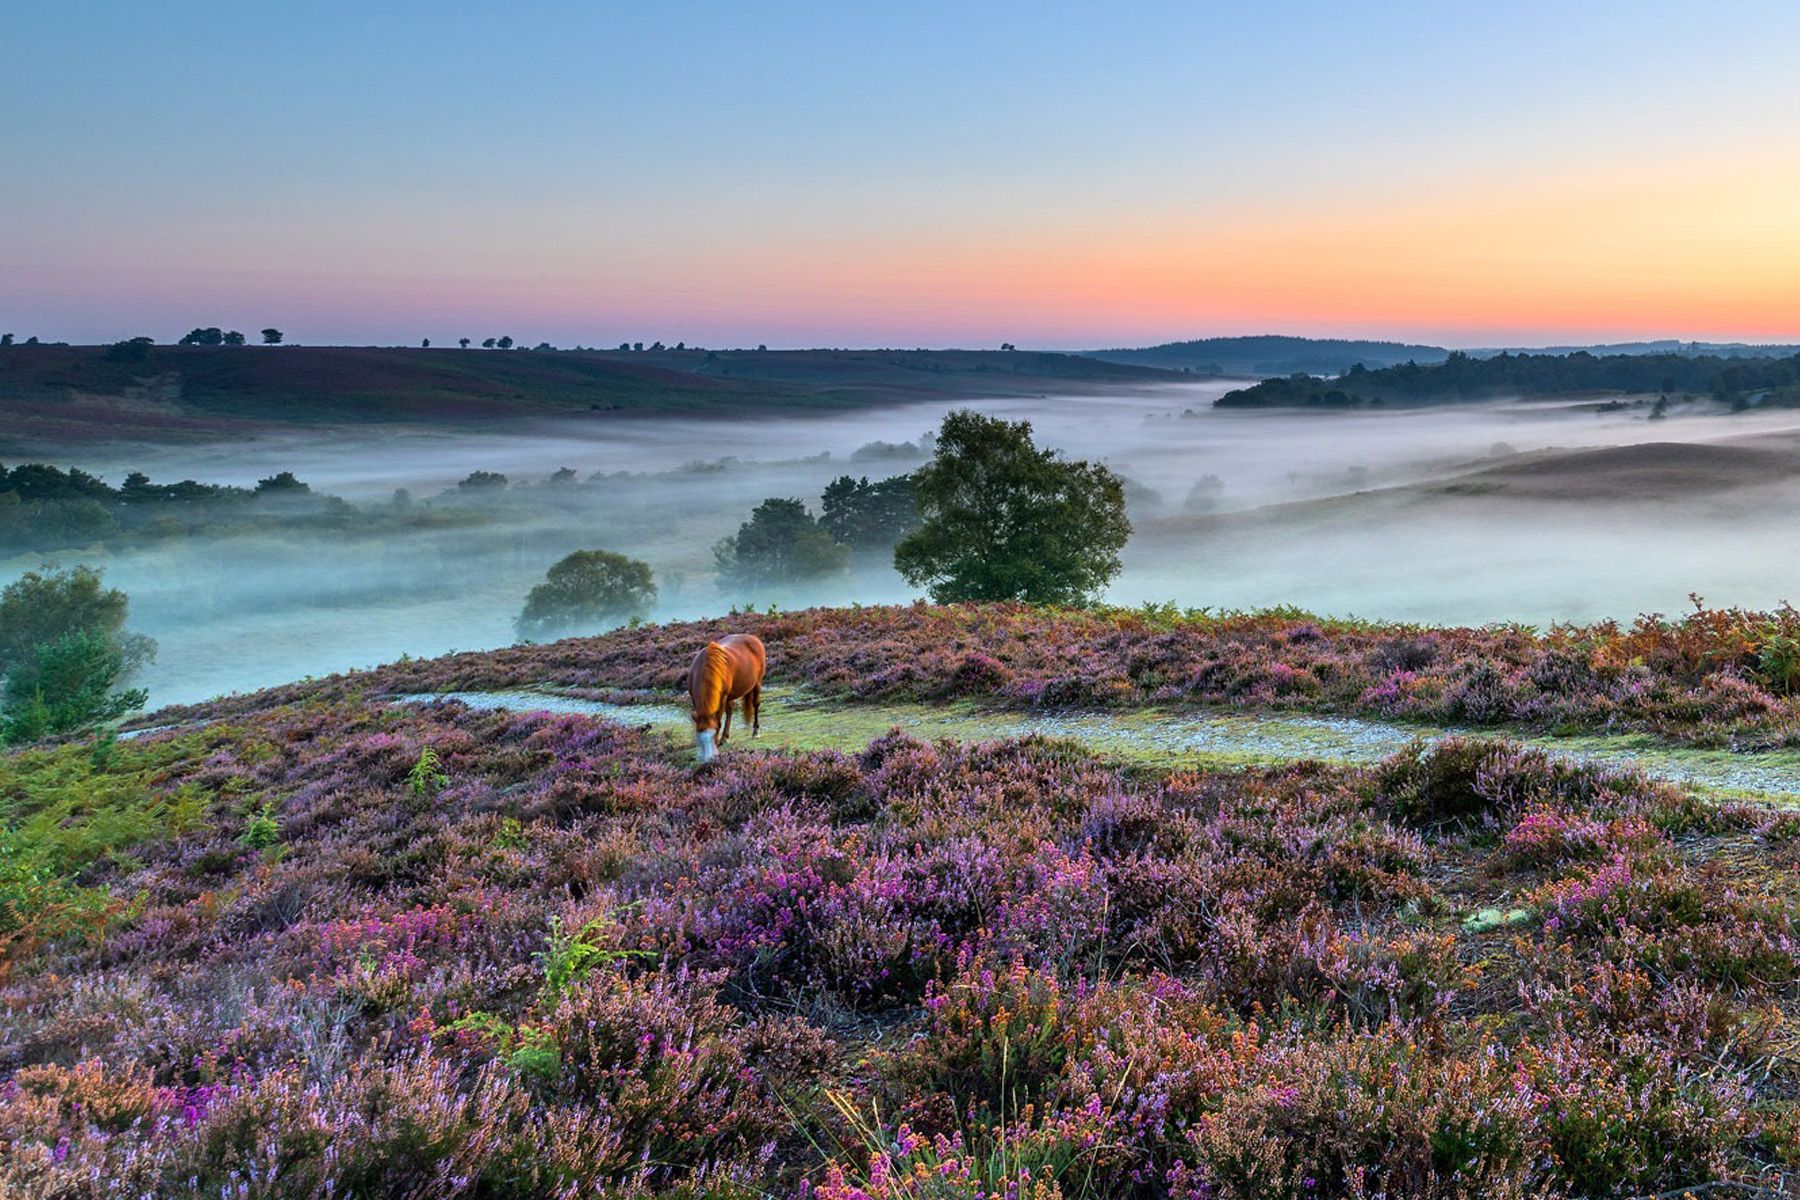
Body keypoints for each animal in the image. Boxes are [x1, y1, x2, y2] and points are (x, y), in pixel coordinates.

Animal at [687, 633, 766, 766]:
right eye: (699, 737)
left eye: (713, 735)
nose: (708, 759)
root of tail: (754, 638)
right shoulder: (693, 697)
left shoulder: (723, 697)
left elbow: (718, 722)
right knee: (730, 711)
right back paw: (725, 737)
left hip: (757, 683)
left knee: (755, 705)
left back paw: (755, 731)